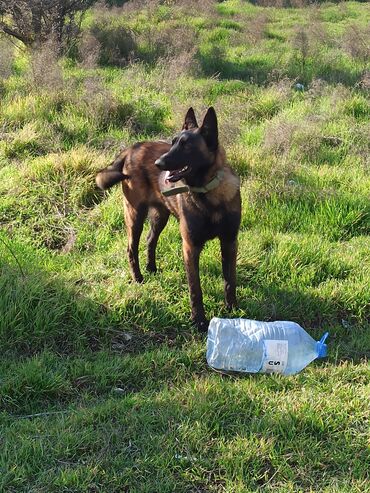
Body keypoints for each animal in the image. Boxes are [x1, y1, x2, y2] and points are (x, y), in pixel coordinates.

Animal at [95, 107, 240, 330]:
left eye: (186, 146)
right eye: (173, 143)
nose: (158, 163)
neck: (208, 194)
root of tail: (131, 149)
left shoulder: (230, 242)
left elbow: (230, 280)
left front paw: (232, 310)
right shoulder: (190, 246)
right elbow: (195, 289)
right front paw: (199, 320)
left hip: (159, 217)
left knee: (150, 240)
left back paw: (151, 268)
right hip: (135, 215)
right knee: (131, 248)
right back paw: (138, 278)